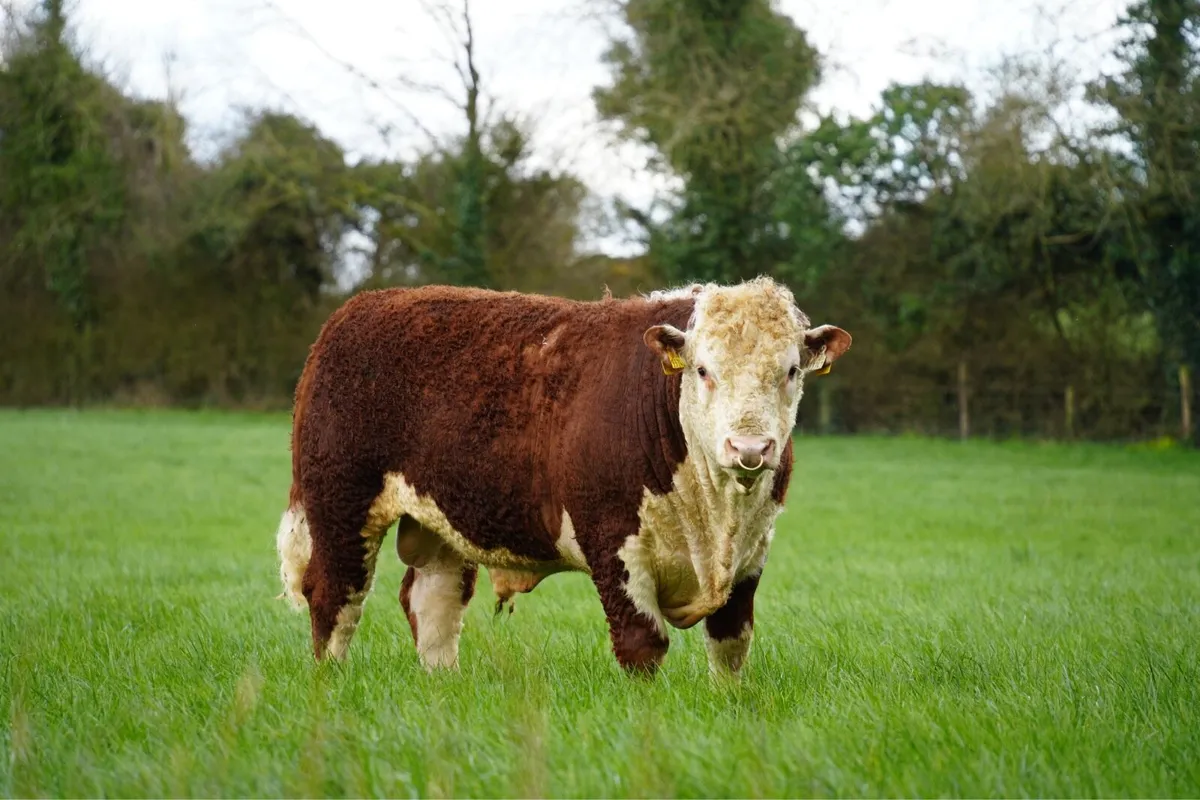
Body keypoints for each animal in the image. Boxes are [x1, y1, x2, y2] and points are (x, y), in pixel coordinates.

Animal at [275, 277, 851, 676]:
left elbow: (731, 646)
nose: (750, 448)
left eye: (791, 371)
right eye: (704, 370)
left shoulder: (752, 552)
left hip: (439, 520)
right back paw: (331, 683)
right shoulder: (612, 539)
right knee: (335, 596)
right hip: (339, 503)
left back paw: (444, 683)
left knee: (432, 602)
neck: (715, 519)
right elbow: (642, 644)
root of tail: (361, 306)